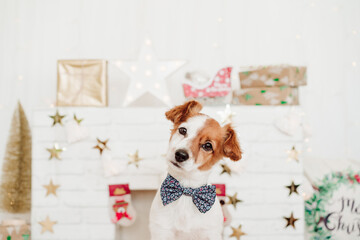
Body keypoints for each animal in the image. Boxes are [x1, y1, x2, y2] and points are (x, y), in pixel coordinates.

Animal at [149, 100, 242, 239]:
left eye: (208, 146)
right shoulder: (161, 231)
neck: (186, 191)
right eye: (183, 130)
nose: (180, 155)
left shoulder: (211, 233)